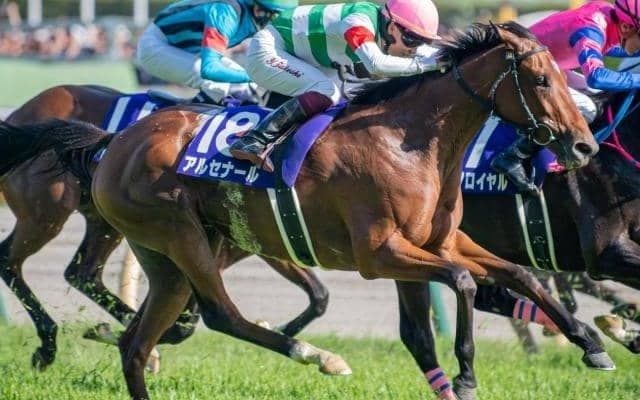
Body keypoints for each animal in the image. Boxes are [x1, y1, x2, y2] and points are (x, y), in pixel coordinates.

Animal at [0, 84, 331, 370]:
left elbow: (319, 296)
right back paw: (47, 344)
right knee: (9, 259)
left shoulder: (267, 243)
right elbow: (186, 322)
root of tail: (22, 111)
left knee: (83, 272)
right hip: (46, 213)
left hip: (101, 220)